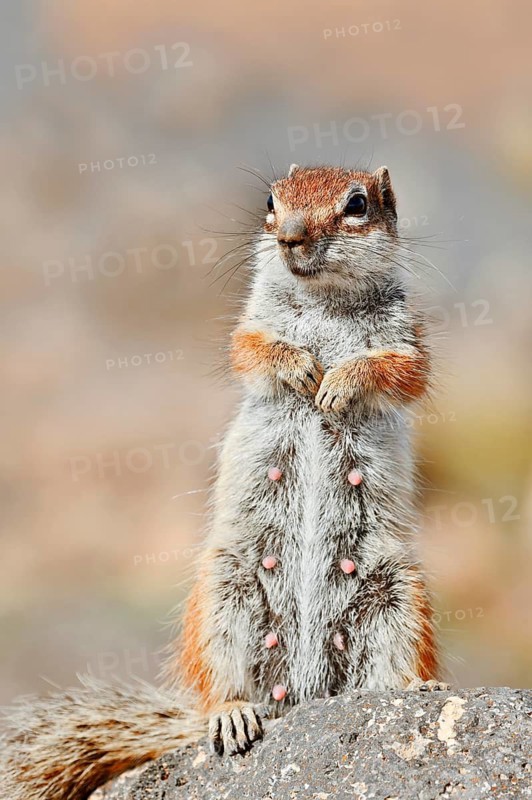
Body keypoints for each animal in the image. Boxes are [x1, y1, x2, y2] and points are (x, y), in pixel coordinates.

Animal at [0, 164, 448, 800]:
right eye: (271, 201)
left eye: (357, 204)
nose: (288, 237)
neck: (323, 299)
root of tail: (301, 697)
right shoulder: (249, 328)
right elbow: (250, 349)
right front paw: (299, 368)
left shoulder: (407, 339)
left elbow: (399, 369)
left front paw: (340, 382)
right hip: (223, 593)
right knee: (220, 682)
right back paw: (231, 714)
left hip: (399, 597)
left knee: (393, 669)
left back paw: (414, 690)